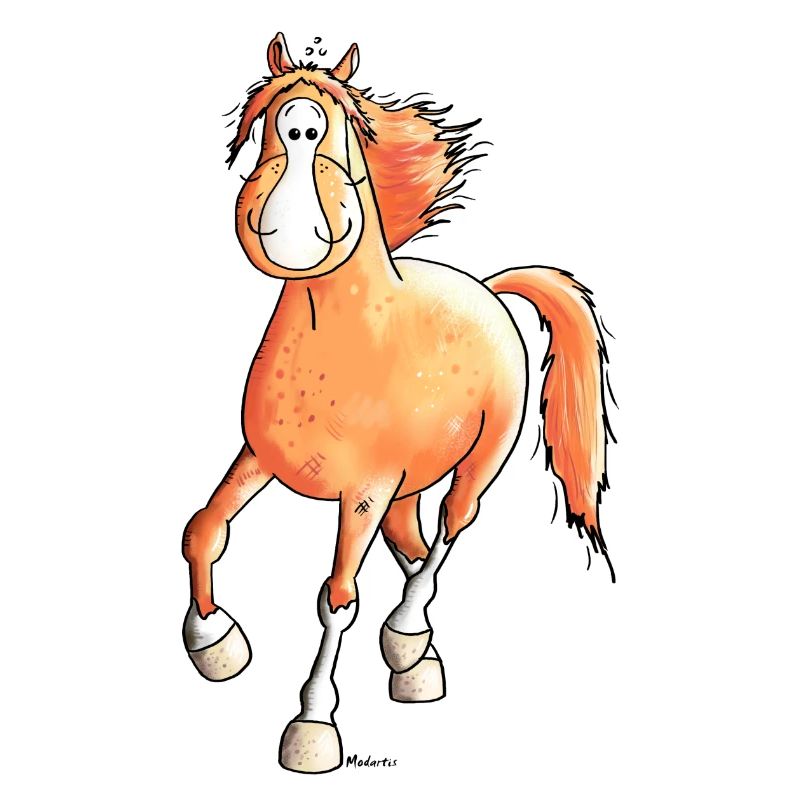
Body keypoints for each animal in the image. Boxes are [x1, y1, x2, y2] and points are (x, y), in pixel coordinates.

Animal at [181, 31, 614, 774]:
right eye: (267, 119)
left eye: (339, 122)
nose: (301, 130)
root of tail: (488, 288)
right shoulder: (259, 458)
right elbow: (204, 529)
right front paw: (215, 643)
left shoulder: (363, 492)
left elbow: (336, 599)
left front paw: (312, 726)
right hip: (405, 488)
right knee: (412, 548)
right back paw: (415, 658)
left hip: (476, 463)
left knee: (448, 529)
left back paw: (408, 636)